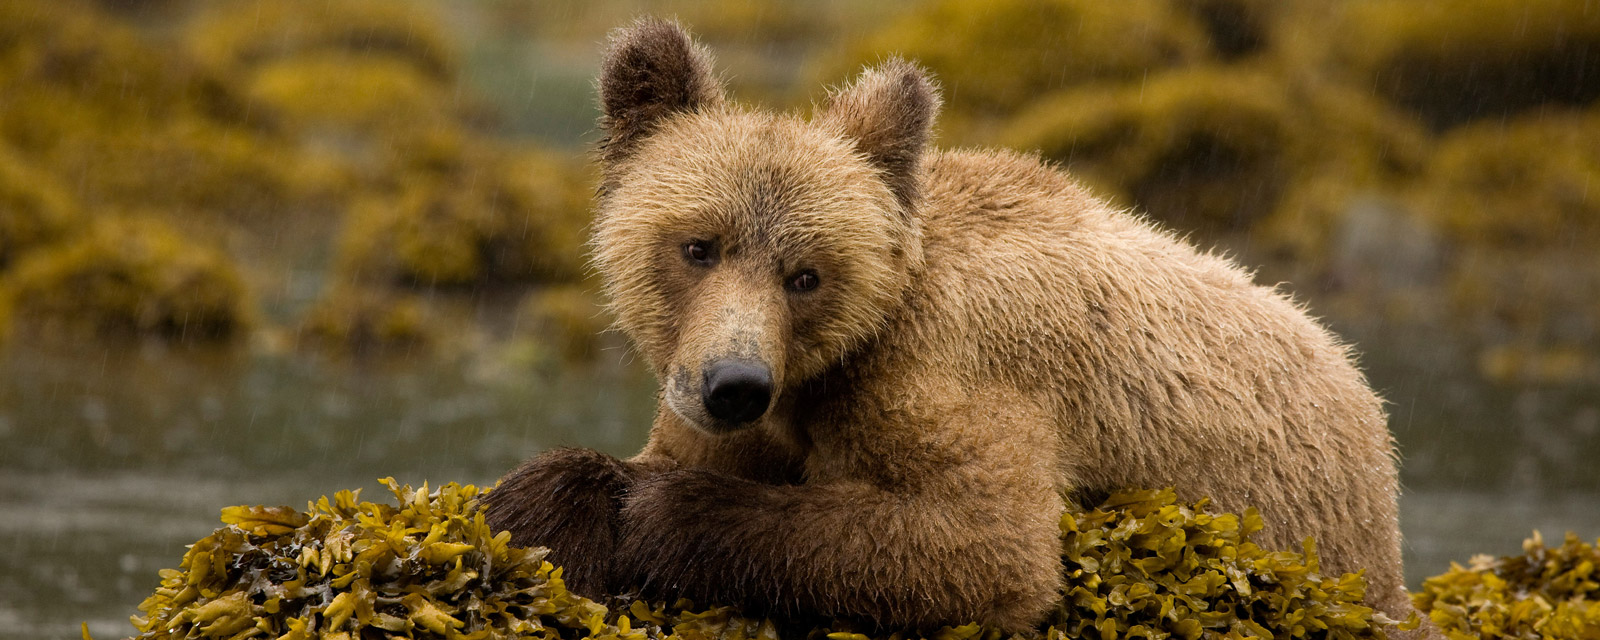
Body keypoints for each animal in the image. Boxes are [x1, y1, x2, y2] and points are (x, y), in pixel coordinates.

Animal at [483, 18, 1427, 633]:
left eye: (806, 273)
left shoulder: (955, 365)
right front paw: (547, 500)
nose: (734, 385)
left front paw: (655, 511)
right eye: (698, 246)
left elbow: (982, 546)